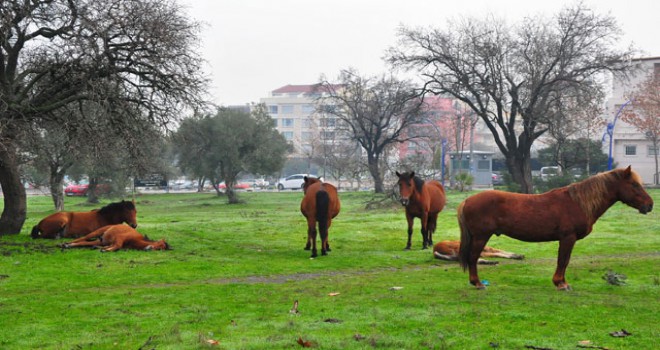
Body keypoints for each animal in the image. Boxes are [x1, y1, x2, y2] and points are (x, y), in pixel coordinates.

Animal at [458, 166, 656, 290]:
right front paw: (560, 284)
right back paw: (477, 283)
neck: (578, 202)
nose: (650, 205)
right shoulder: (568, 238)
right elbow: (563, 261)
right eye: (634, 185)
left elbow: (565, 261)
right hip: (481, 237)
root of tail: (467, 200)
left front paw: (562, 282)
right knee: (473, 258)